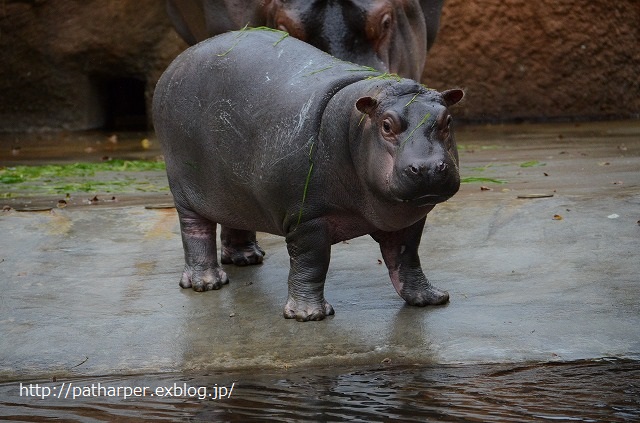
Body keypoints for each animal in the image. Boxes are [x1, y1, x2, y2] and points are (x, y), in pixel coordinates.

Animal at [152, 29, 462, 322]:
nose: (428, 167)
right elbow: (311, 264)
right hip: (184, 189)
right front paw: (308, 315)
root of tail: (177, 62)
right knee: (195, 230)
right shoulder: (307, 220)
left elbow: (407, 258)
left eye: (447, 120)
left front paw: (430, 298)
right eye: (386, 125)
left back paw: (246, 258)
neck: (355, 126)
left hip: (234, 188)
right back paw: (206, 282)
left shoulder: (410, 220)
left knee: (235, 216)